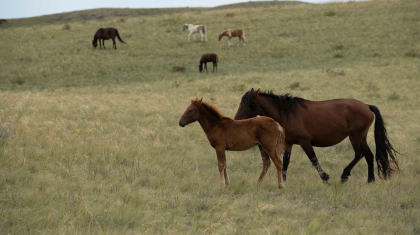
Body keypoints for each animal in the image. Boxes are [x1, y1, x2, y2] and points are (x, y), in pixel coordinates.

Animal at [235, 89, 398, 185]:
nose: (236, 120)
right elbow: (286, 162)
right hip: (361, 137)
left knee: (360, 154)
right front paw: (284, 181)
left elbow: (313, 160)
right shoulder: (289, 143)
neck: (287, 113)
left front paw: (326, 179)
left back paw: (345, 175)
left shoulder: (305, 142)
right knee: (369, 155)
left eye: (247, 104)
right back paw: (370, 181)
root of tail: (366, 106)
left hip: (355, 137)